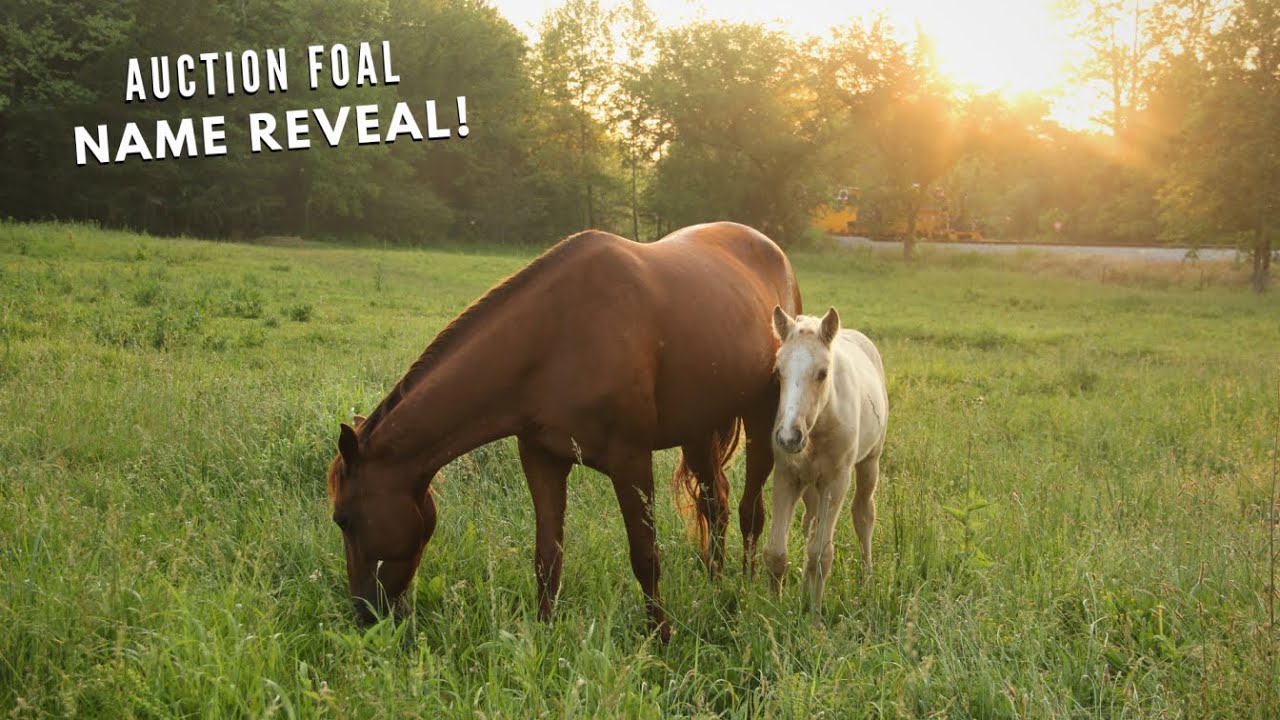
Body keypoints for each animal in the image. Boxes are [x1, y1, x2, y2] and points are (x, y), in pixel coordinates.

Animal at [326, 222, 802, 640]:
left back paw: (746, 586)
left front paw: (660, 638)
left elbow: (645, 555)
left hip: (762, 417)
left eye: (342, 519)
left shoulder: (631, 461)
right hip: (699, 429)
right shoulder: (542, 458)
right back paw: (714, 582)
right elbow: (547, 556)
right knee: (714, 504)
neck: (556, 336)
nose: (363, 613)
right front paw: (544, 633)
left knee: (749, 510)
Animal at [763, 306, 888, 615]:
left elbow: (821, 554)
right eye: (778, 371)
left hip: (870, 462)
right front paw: (774, 610)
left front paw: (814, 615)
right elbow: (776, 552)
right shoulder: (786, 476)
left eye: (822, 373)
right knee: (811, 520)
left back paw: (867, 580)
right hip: (811, 484)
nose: (788, 437)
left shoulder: (836, 481)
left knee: (863, 514)